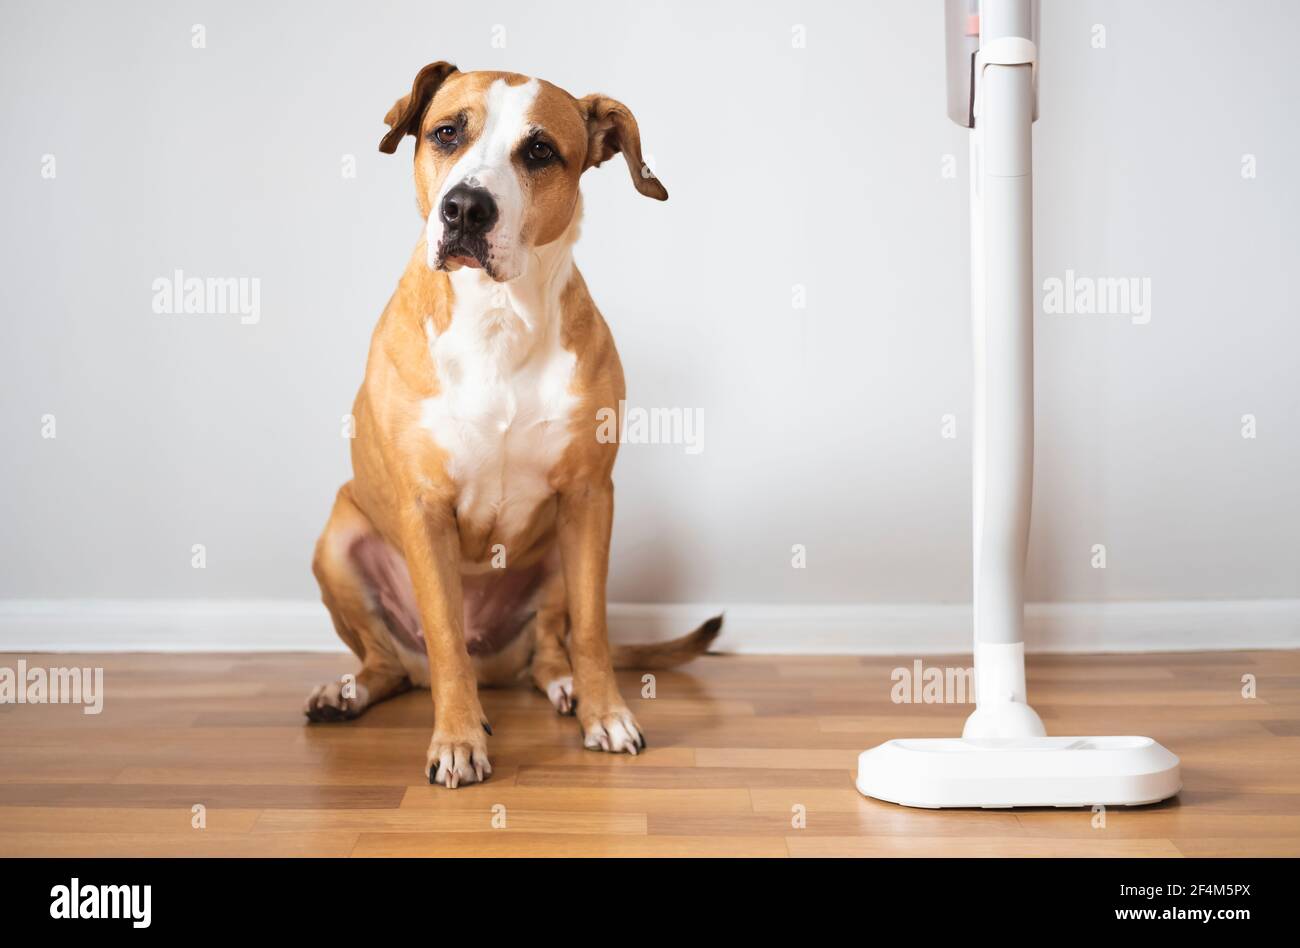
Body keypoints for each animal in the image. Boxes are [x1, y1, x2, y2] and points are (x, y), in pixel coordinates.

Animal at [305, 62, 722, 785]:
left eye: (540, 151)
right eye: (447, 132)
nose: (467, 208)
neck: (497, 318)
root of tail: (497, 662)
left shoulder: (589, 498)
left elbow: (592, 628)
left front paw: (607, 714)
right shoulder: (423, 510)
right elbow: (446, 636)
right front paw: (457, 739)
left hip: (556, 551)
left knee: (549, 646)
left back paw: (564, 685)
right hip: (337, 542)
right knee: (393, 663)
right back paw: (349, 692)